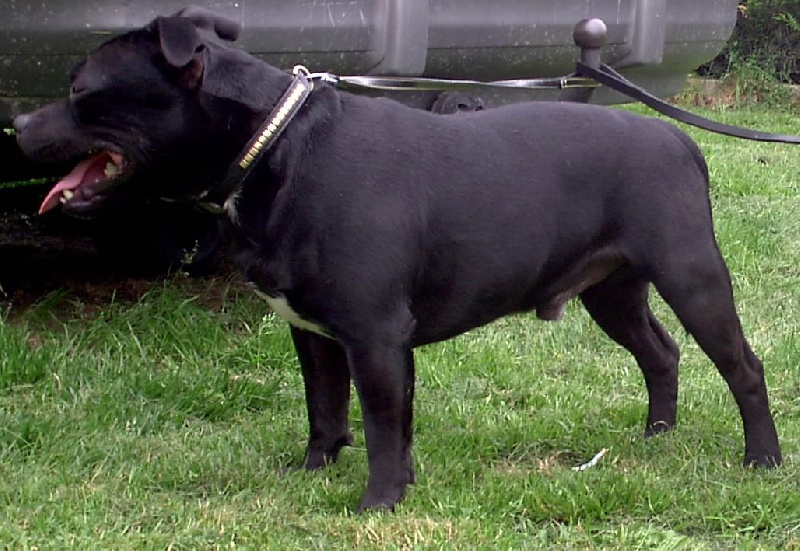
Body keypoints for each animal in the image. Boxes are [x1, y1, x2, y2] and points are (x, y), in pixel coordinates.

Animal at [14, 6, 780, 512]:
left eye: (82, 91)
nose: (18, 122)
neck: (272, 142)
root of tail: (677, 141)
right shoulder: (314, 332)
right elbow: (326, 406)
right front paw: (313, 469)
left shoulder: (376, 335)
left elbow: (385, 423)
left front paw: (378, 503)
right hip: (612, 290)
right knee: (659, 352)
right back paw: (657, 435)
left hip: (692, 276)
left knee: (742, 366)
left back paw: (762, 459)